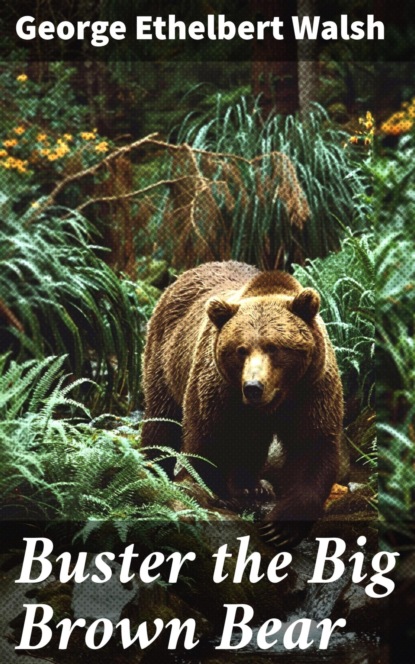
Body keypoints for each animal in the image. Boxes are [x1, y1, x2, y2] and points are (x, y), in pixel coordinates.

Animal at [141, 261, 343, 548]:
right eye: (240, 349)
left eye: (274, 347)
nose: (253, 387)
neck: (277, 398)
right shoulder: (218, 388)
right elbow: (207, 436)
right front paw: (216, 493)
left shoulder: (311, 389)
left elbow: (312, 445)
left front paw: (280, 528)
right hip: (165, 361)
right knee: (162, 421)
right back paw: (154, 469)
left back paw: (252, 485)